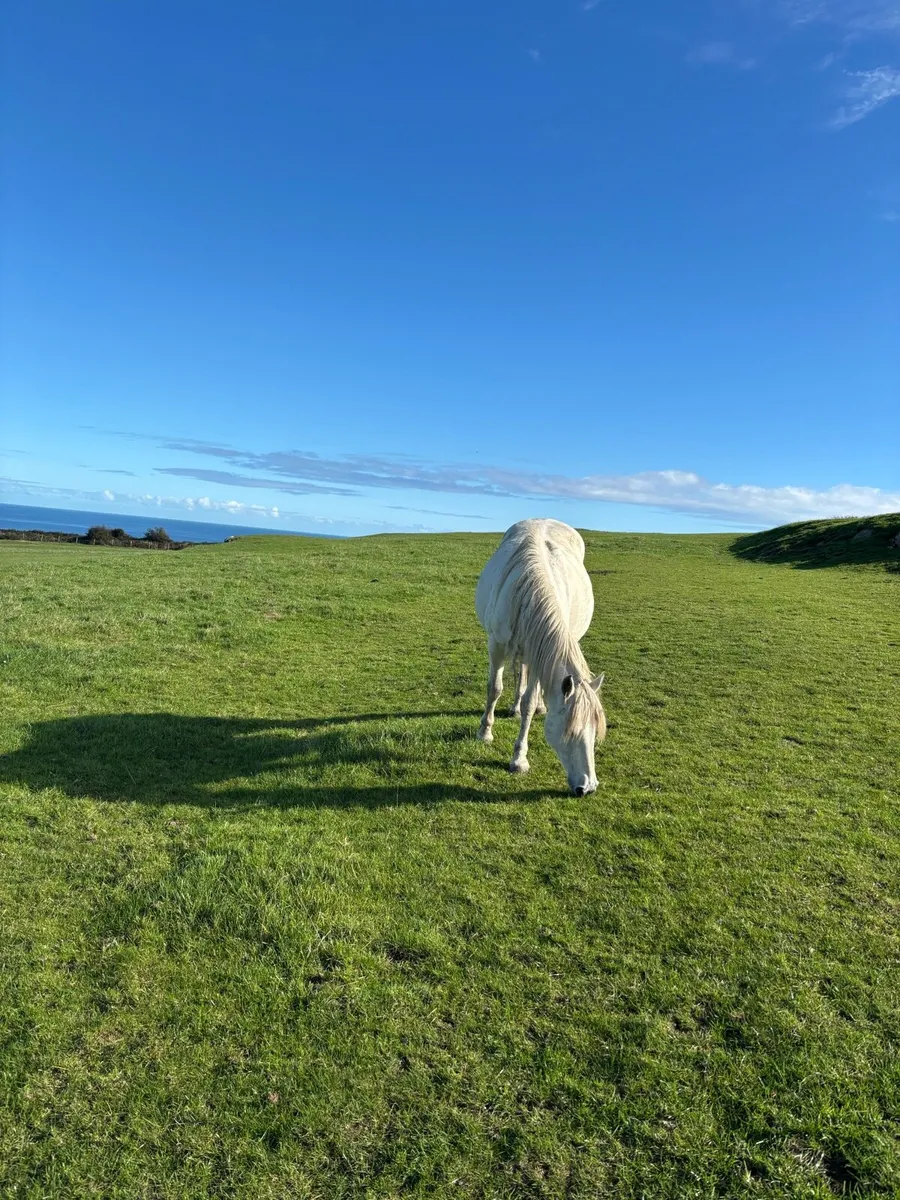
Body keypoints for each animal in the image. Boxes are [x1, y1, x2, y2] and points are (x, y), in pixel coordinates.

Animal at [475, 519, 607, 795]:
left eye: (595, 732)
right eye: (572, 732)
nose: (588, 787)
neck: (530, 590)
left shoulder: (542, 657)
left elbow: (529, 702)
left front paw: (519, 759)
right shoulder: (496, 645)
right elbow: (494, 688)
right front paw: (485, 732)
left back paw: (537, 707)